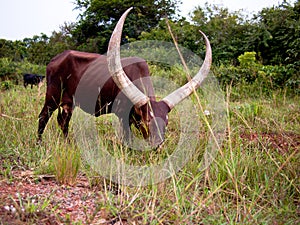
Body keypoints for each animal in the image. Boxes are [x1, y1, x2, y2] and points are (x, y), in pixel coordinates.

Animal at [37, 7, 211, 148]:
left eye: (166, 122)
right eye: (147, 121)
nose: (158, 146)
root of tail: (56, 58)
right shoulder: (122, 116)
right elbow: (128, 139)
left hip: (68, 102)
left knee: (63, 121)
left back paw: (68, 144)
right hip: (52, 97)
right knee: (43, 117)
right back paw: (39, 144)